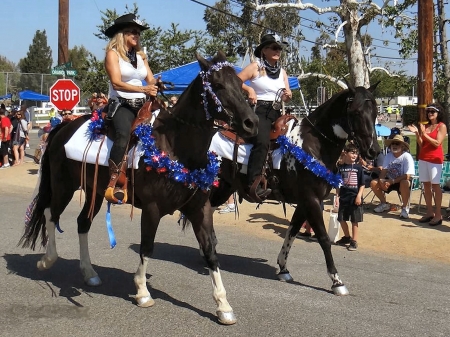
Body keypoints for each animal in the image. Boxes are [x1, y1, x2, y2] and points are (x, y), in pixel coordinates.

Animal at [19, 51, 258, 322]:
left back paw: (89, 273)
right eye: (217, 85)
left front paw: (223, 306)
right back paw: (47, 260)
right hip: (63, 185)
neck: (175, 146)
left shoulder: (200, 209)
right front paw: (142, 292)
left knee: (82, 223)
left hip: (94, 192)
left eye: (240, 84)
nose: (251, 123)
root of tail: (63, 126)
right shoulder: (152, 208)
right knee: (51, 213)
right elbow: (147, 246)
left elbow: (210, 251)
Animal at [211, 82, 380, 294]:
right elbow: (323, 238)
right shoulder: (311, 200)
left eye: (375, 111)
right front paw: (336, 281)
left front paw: (283, 269)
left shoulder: (304, 203)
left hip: (223, 187)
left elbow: (291, 232)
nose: (374, 150)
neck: (314, 145)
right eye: (356, 112)